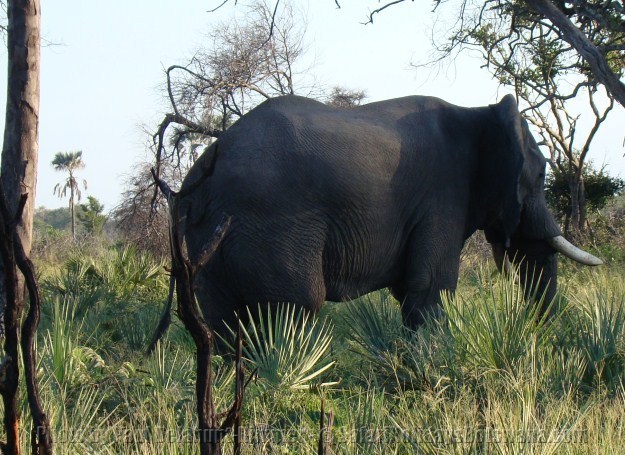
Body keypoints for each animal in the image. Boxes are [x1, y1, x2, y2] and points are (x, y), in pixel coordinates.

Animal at [179, 93, 600, 334]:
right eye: (542, 174)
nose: (541, 337)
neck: (480, 112)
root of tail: (208, 165)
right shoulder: (441, 194)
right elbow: (431, 286)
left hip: (206, 235)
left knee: (221, 319)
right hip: (270, 224)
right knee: (297, 303)